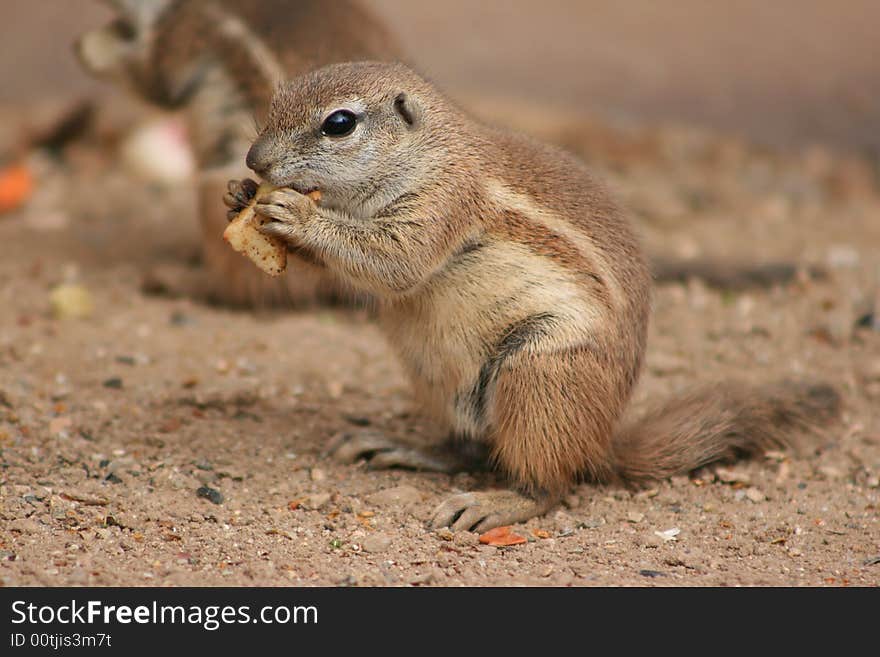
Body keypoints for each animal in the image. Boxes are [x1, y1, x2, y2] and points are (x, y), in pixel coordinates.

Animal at [77, 0, 404, 308]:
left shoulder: (180, 34)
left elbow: (152, 79)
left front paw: (95, 50)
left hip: (212, 194)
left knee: (245, 287)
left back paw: (175, 279)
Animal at [222, 64, 840, 532]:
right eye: (274, 101)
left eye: (339, 123)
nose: (255, 160)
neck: (428, 152)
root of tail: (597, 443)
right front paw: (240, 195)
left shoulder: (444, 202)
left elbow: (395, 261)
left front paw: (294, 214)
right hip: (432, 371)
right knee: (468, 448)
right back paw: (404, 447)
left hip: (538, 372)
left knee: (548, 485)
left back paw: (498, 502)